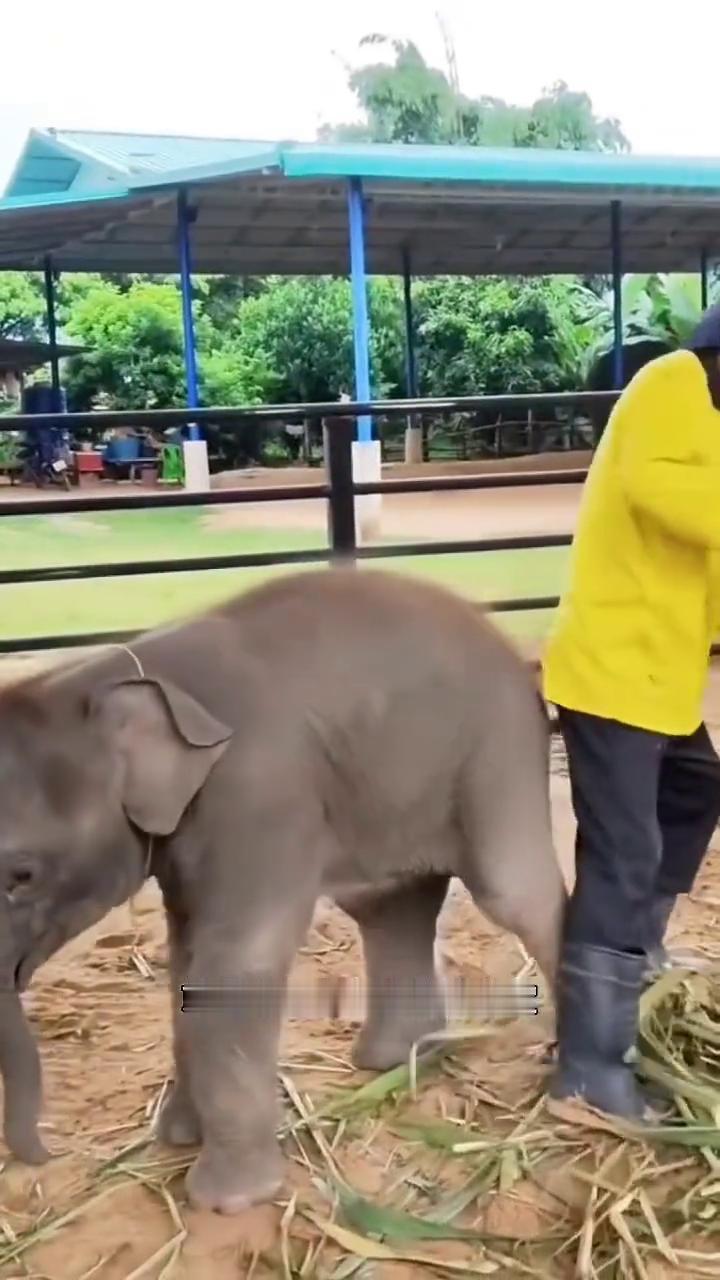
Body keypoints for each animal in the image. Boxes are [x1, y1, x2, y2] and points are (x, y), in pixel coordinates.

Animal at [0, 567, 565, 1213]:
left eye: (22, 875)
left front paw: (227, 1200)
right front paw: (177, 1138)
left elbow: (235, 962)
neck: (106, 673)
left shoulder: (260, 793)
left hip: (498, 749)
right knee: (389, 904)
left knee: (513, 893)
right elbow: (186, 959)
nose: (47, 1156)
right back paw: (396, 1061)